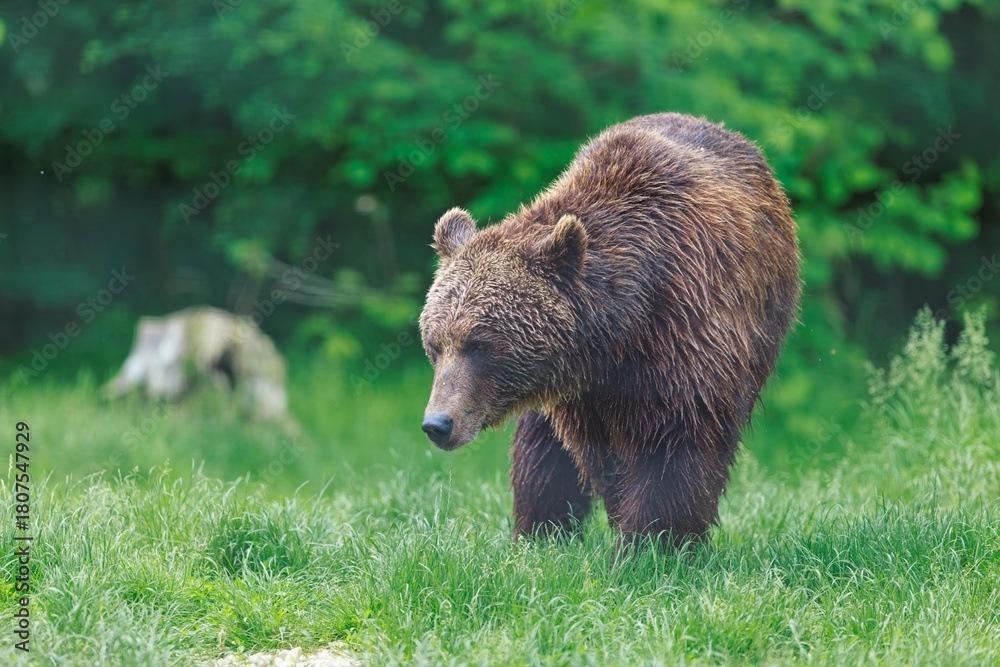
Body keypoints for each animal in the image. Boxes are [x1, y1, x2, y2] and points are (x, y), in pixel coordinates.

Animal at [418, 113, 800, 547]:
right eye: (434, 345)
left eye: (479, 344)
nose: (438, 424)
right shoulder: (581, 395)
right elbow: (595, 456)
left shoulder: (687, 329)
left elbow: (678, 441)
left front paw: (654, 542)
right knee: (540, 449)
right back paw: (539, 534)